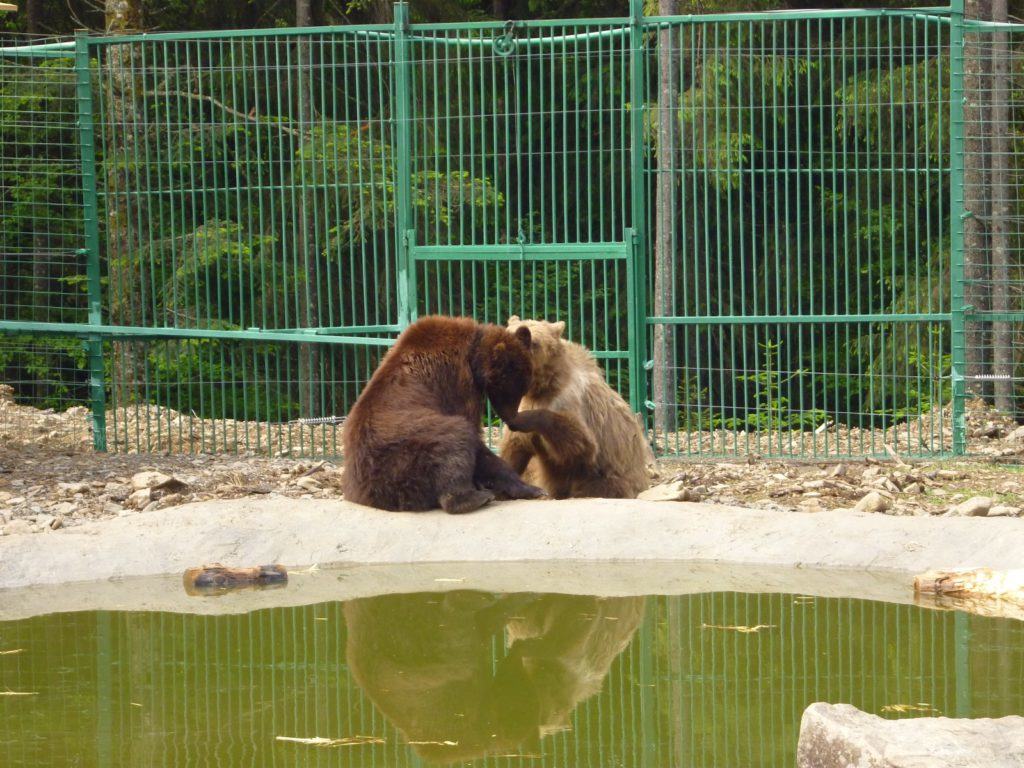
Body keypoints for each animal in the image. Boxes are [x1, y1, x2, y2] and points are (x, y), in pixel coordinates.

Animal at [342, 315, 552, 514]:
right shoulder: (458, 383)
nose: (512, 418)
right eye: (514, 387)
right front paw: (530, 488)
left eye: (522, 386)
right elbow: (475, 438)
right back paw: (474, 497)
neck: (473, 357)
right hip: (402, 451)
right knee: (453, 437)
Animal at [499, 315, 651, 501]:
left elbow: (581, 445)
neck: (542, 386)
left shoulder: (569, 402)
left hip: (612, 474)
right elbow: (514, 447)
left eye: (534, 341)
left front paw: (520, 418)